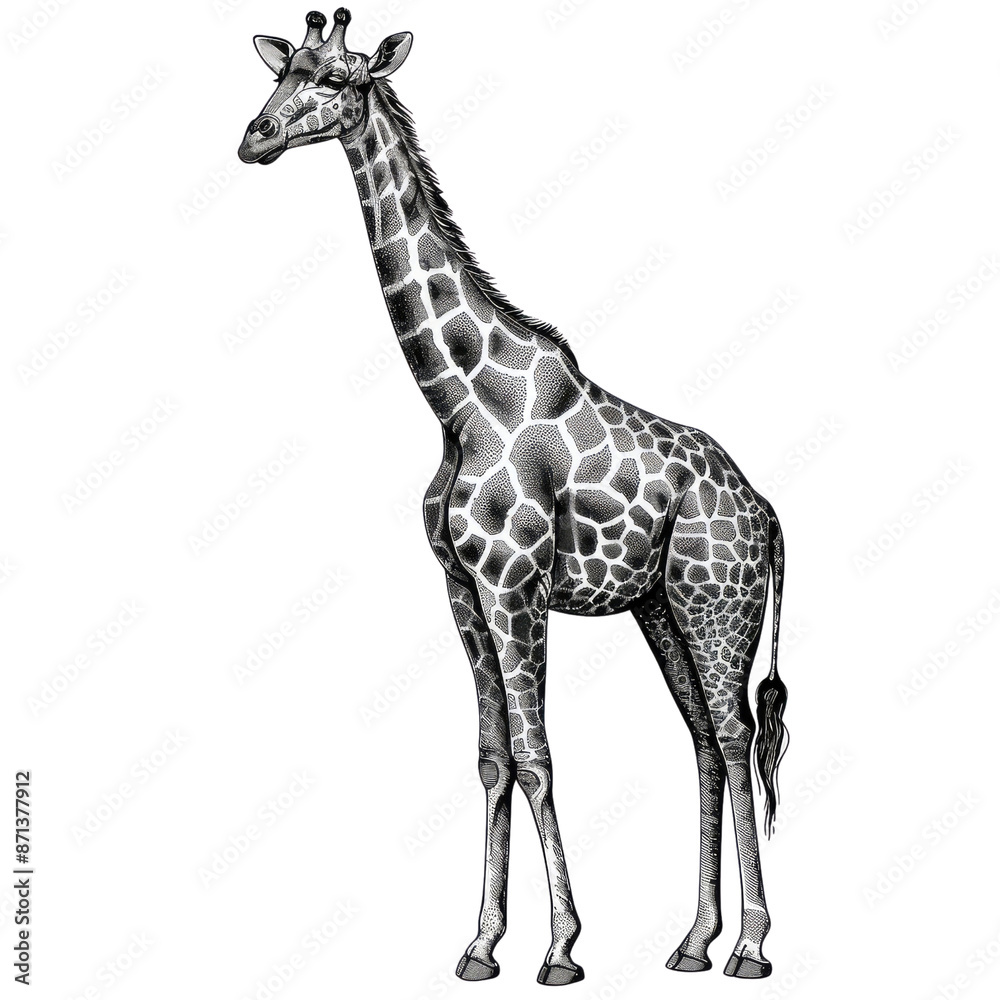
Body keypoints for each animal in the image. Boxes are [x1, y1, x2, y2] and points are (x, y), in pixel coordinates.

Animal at [238, 9, 789, 986]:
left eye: (338, 79)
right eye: (284, 69)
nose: (254, 137)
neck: (459, 400)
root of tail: (765, 512)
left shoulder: (513, 585)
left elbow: (537, 759)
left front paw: (561, 948)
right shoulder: (460, 588)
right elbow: (493, 760)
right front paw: (481, 945)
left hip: (717, 605)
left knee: (731, 740)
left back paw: (751, 947)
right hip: (660, 609)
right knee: (702, 744)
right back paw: (692, 942)